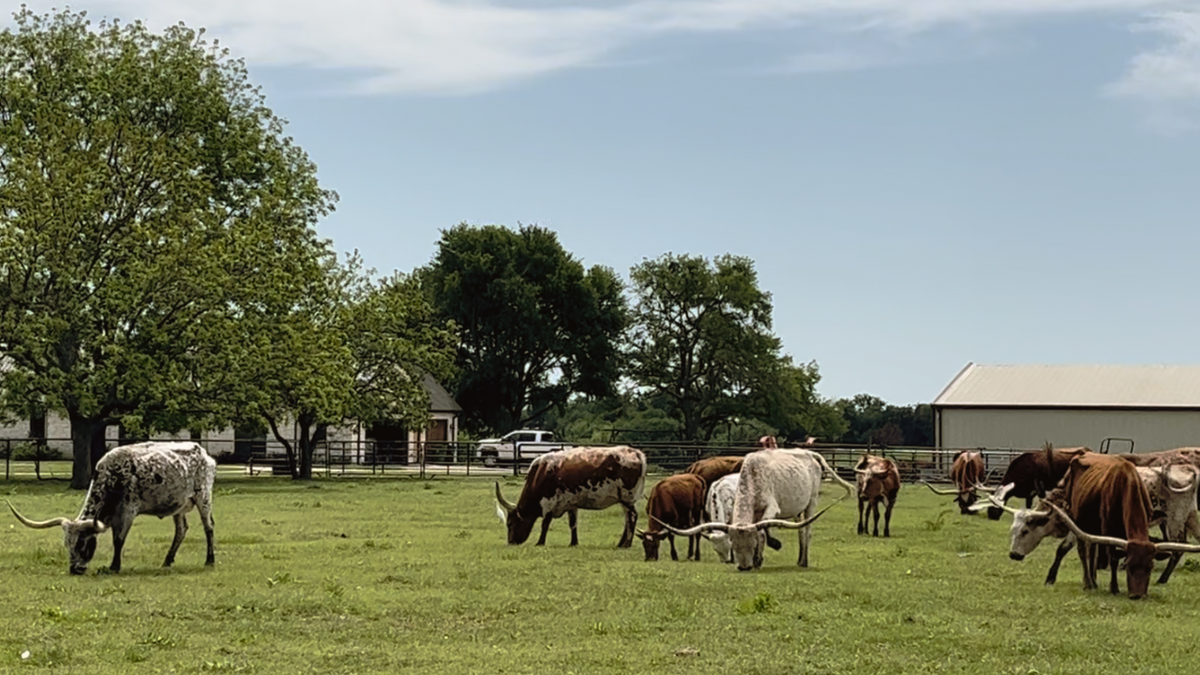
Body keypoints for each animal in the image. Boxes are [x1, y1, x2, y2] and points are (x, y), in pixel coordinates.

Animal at [8, 441, 216, 575]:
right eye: (67, 544)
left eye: (83, 543)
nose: (75, 570)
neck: (113, 476)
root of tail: (204, 453)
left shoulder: (127, 511)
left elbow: (118, 540)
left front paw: (114, 566)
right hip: (178, 505)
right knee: (181, 530)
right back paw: (167, 561)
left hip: (203, 497)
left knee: (209, 527)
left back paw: (210, 560)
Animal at [494, 446, 646, 548]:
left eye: (510, 524)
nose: (511, 542)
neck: (541, 473)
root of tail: (636, 453)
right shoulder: (571, 503)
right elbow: (573, 524)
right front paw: (574, 543)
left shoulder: (549, 502)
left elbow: (545, 524)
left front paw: (540, 542)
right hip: (624, 500)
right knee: (627, 518)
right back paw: (620, 543)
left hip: (628, 498)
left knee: (632, 516)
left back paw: (627, 544)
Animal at [659, 448, 854, 571]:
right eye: (734, 545)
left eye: (751, 546)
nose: (744, 567)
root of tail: (808, 452)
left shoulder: (771, 508)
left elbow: (761, 531)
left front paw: (761, 556)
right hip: (797, 508)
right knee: (800, 531)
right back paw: (799, 560)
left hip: (811, 502)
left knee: (807, 531)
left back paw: (804, 561)